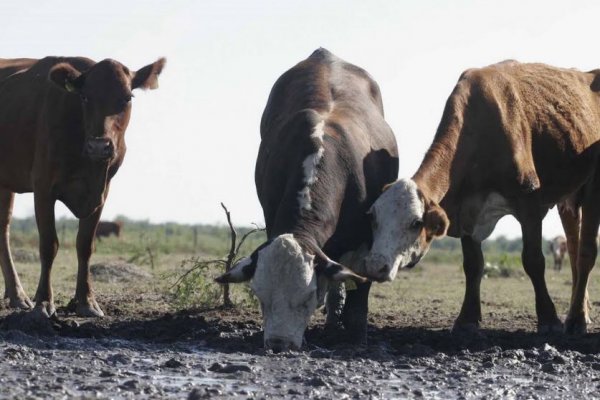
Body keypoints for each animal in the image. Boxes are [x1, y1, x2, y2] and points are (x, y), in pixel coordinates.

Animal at [0, 56, 164, 318]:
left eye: (127, 97)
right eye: (85, 97)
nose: (99, 146)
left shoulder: (101, 192)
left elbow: (85, 245)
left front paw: (86, 302)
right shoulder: (43, 187)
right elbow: (49, 244)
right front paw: (43, 302)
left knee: (3, 228)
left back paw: (17, 295)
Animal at [216, 48, 398, 352]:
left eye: (307, 298)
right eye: (261, 297)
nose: (278, 343)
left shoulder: (367, 240)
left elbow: (358, 294)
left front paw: (357, 338)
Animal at [364, 59, 600, 334]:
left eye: (415, 223)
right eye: (374, 219)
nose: (375, 266)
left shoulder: (529, 203)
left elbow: (533, 260)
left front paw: (548, 318)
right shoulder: (466, 208)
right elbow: (473, 265)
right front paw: (467, 318)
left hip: (592, 188)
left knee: (585, 252)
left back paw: (577, 319)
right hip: (568, 198)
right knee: (573, 249)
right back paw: (581, 311)